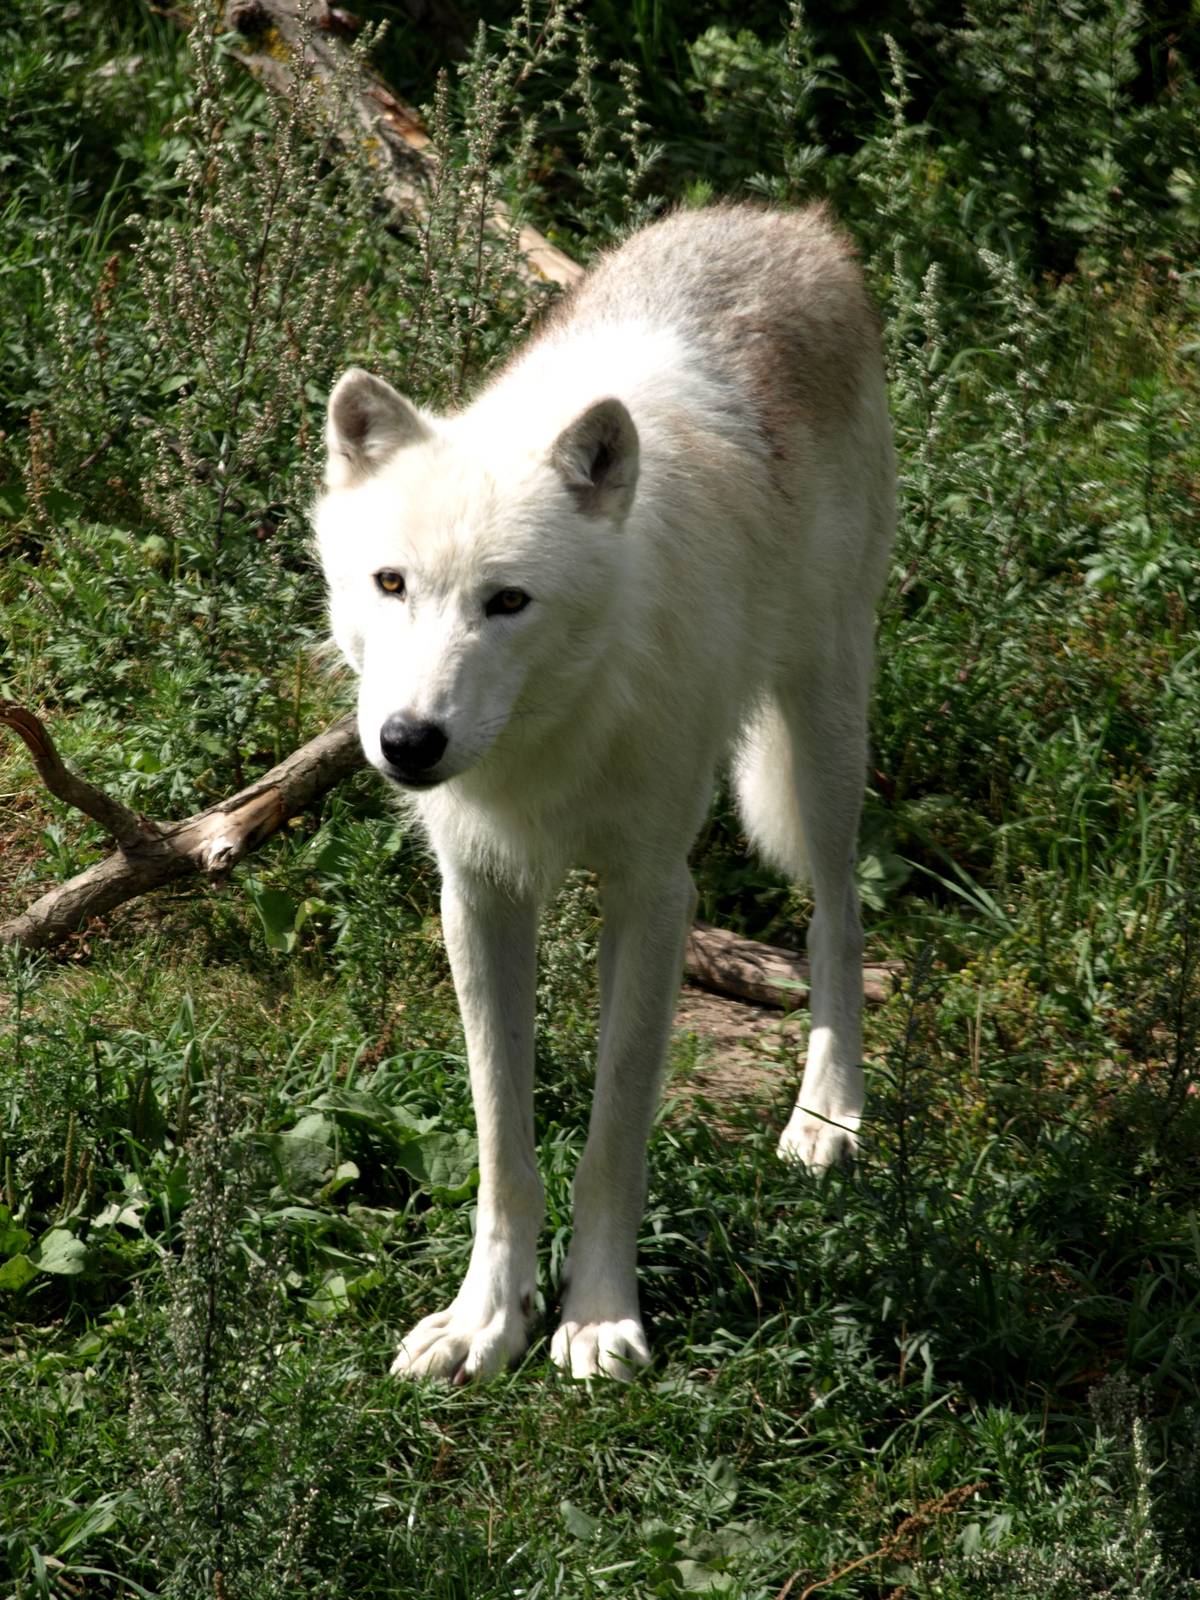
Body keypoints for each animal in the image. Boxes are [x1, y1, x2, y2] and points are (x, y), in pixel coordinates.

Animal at [314, 203, 895, 1381]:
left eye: (508, 601)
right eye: (391, 584)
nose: (408, 741)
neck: (549, 735)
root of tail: (792, 222)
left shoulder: (654, 893)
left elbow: (616, 1129)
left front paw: (595, 1317)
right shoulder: (480, 893)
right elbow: (503, 1139)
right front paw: (485, 1322)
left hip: (821, 731)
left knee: (839, 919)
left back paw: (828, 1121)